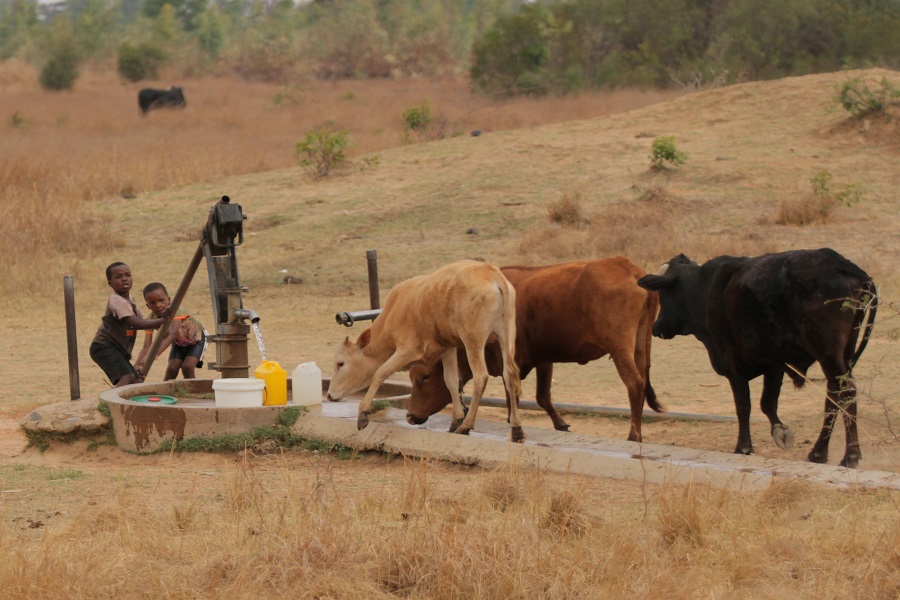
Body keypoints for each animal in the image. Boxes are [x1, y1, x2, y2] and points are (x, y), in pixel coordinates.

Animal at [328, 260, 528, 442]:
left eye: (340, 363)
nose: (329, 395)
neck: (397, 309)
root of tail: (491, 273)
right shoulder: (448, 348)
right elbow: (451, 381)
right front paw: (455, 419)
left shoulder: (407, 350)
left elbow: (379, 373)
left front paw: (363, 414)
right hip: (505, 335)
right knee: (509, 375)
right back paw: (516, 429)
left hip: (473, 340)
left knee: (481, 377)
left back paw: (466, 426)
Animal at [408, 256, 660, 440]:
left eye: (425, 376)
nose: (410, 416)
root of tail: (628, 268)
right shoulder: (544, 359)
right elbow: (542, 396)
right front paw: (558, 423)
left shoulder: (511, 359)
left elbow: (512, 393)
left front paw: (513, 424)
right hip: (640, 346)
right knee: (642, 381)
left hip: (619, 348)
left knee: (634, 384)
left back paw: (633, 435)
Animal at [640, 247, 880, 468]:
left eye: (663, 294)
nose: (656, 327)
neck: (705, 288)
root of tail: (841, 263)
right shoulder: (774, 362)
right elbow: (767, 403)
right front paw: (780, 431)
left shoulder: (733, 362)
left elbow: (743, 405)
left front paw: (743, 446)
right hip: (843, 354)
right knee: (833, 395)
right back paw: (819, 452)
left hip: (828, 352)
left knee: (846, 393)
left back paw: (850, 456)